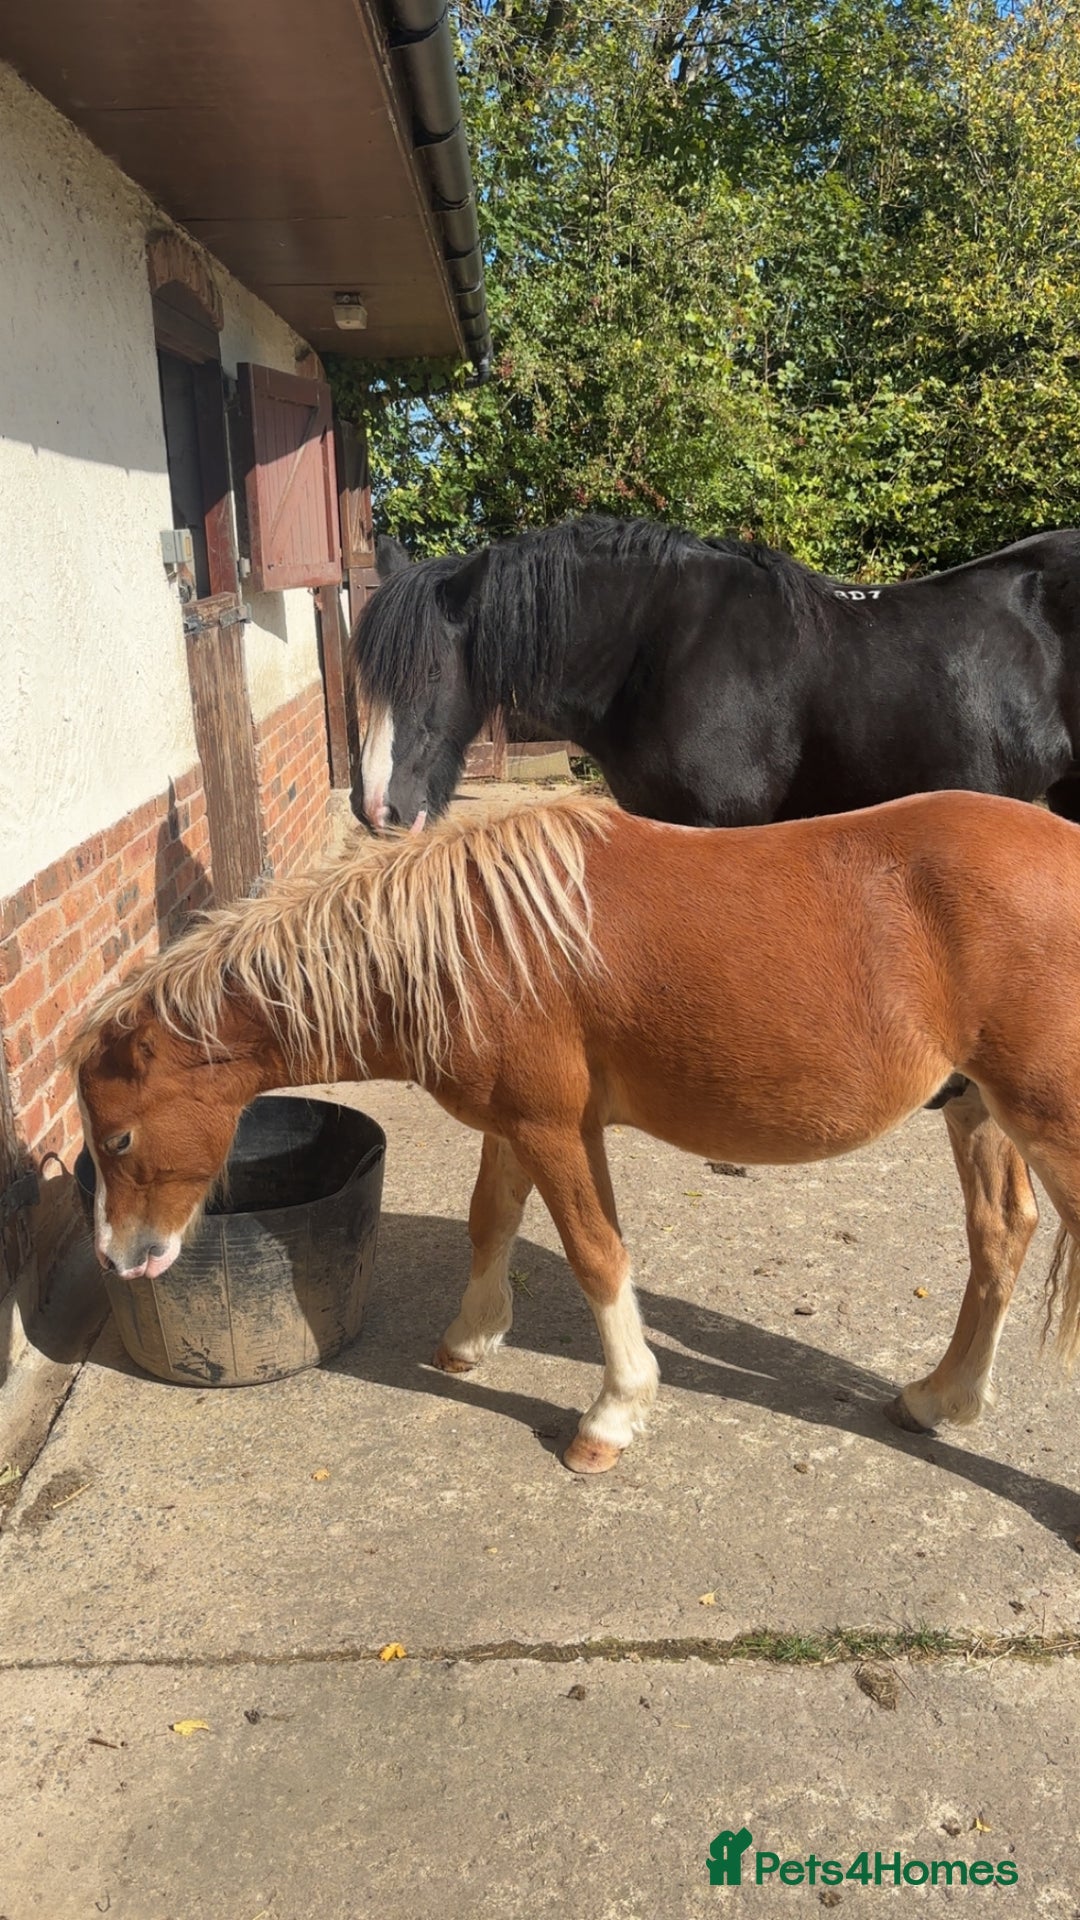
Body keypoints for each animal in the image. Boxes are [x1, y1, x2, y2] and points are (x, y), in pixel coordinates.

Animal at [70, 788, 1080, 1478]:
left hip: (1047, 1122)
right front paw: (469, 1341)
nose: (121, 1260)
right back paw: (940, 1399)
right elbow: (490, 1219)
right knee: (1000, 1237)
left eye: (117, 1141)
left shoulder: (555, 1127)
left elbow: (598, 1257)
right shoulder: (516, 1123)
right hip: (975, 1108)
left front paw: (614, 1415)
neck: (481, 942)